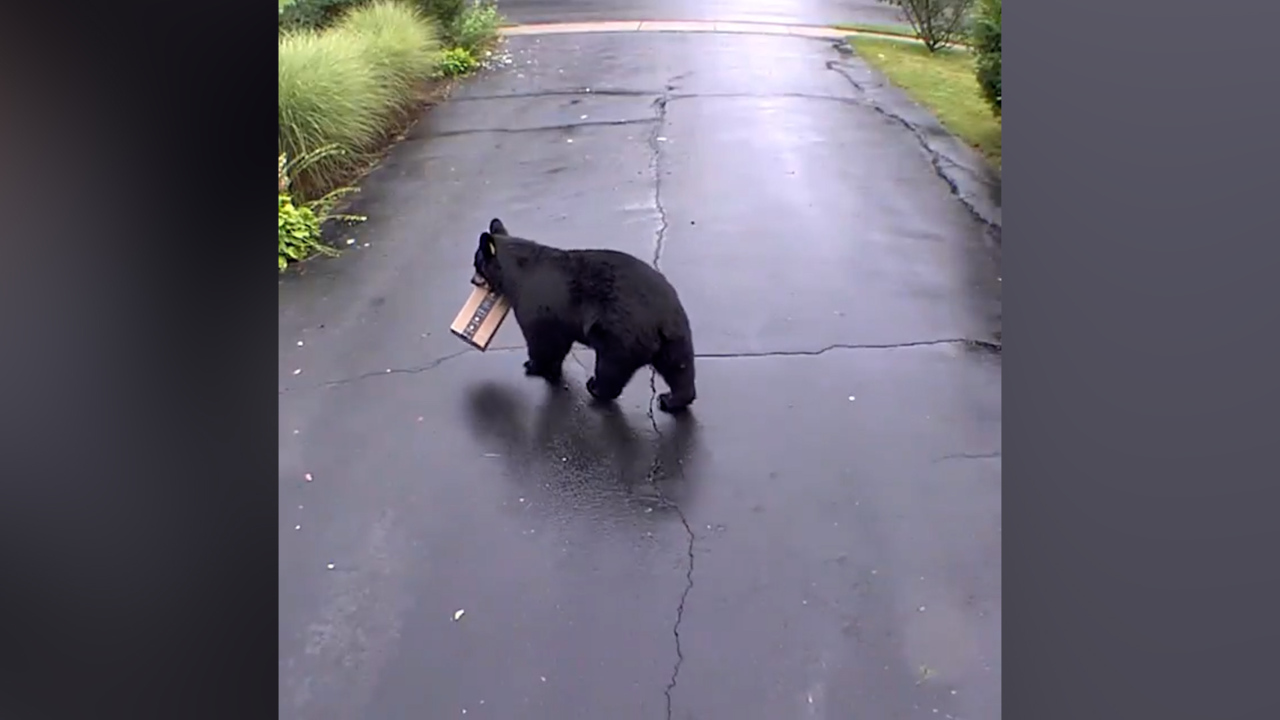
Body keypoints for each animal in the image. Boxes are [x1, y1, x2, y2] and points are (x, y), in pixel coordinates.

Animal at [473, 215, 696, 412]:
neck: (517, 273)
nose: (472, 280)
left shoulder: (535, 304)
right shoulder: (559, 320)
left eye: (476, 263)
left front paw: (533, 366)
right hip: (675, 335)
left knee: (612, 366)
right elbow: (559, 342)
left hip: (620, 334)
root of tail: (660, 317)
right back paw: (671, 400)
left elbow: (541, 340)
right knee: (679, 367)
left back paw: (596, 387)